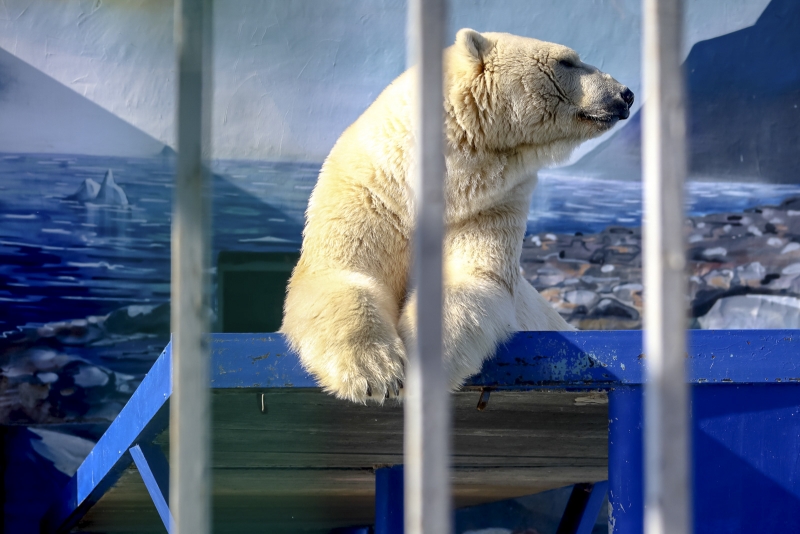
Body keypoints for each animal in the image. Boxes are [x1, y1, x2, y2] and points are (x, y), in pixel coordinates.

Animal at [284, 29, 636, 404]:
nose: (626, 94)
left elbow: (470, 279)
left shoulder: (490, 203)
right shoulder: (371, 191)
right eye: (567, 61)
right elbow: (340, 272)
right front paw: (374, 373)